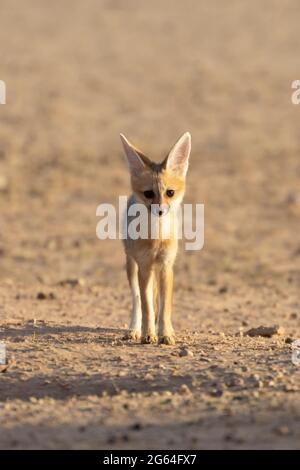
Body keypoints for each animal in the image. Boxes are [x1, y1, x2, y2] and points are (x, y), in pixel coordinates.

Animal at [120, 132, 192, 346]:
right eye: (148, 193)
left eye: (170, 192)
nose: (160, 211)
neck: (157, 238)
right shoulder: (144, 266)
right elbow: (146, 305)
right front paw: (148, 334)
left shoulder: (166, 266)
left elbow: (164, 306)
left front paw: (166, 333)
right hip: (131, 266)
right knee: (137, 299)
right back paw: (134, 329)